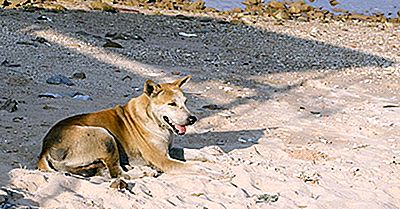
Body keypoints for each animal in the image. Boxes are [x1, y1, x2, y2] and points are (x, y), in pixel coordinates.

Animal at [36, 75, 216, 178]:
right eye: (172, 104)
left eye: (185, 102)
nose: (192, 119)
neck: (153, 119)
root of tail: (45, 148)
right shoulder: (163, 159)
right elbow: (194, 166)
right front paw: (212, 171)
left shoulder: (169, 150)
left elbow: (191, 152)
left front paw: (212, 153)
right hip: (103, 134)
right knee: (117, 173)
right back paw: (143, 171)